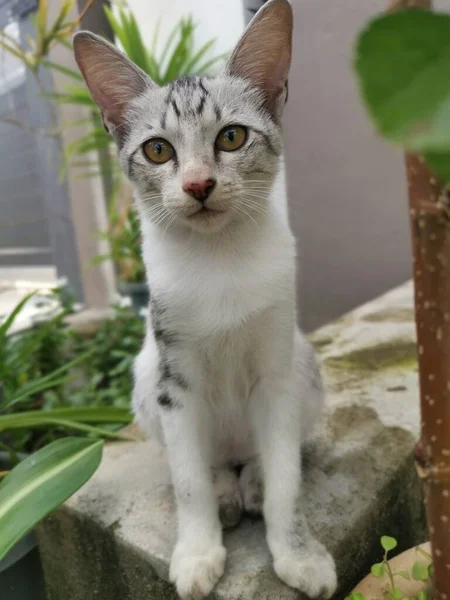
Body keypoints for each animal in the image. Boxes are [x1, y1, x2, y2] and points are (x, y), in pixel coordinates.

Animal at [73, 2, 334, 596]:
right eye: (158, 149)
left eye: (232, 137)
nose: (197, 185)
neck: (220, 262)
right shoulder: (176, 379)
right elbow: (187, 479)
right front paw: (196, 552)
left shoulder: (277, 372)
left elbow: (287, 477)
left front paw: (298, 554)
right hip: (146, 373)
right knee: (202, 462)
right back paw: (225, 490)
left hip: (303, 362)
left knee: (266, 454)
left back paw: (252, 481)